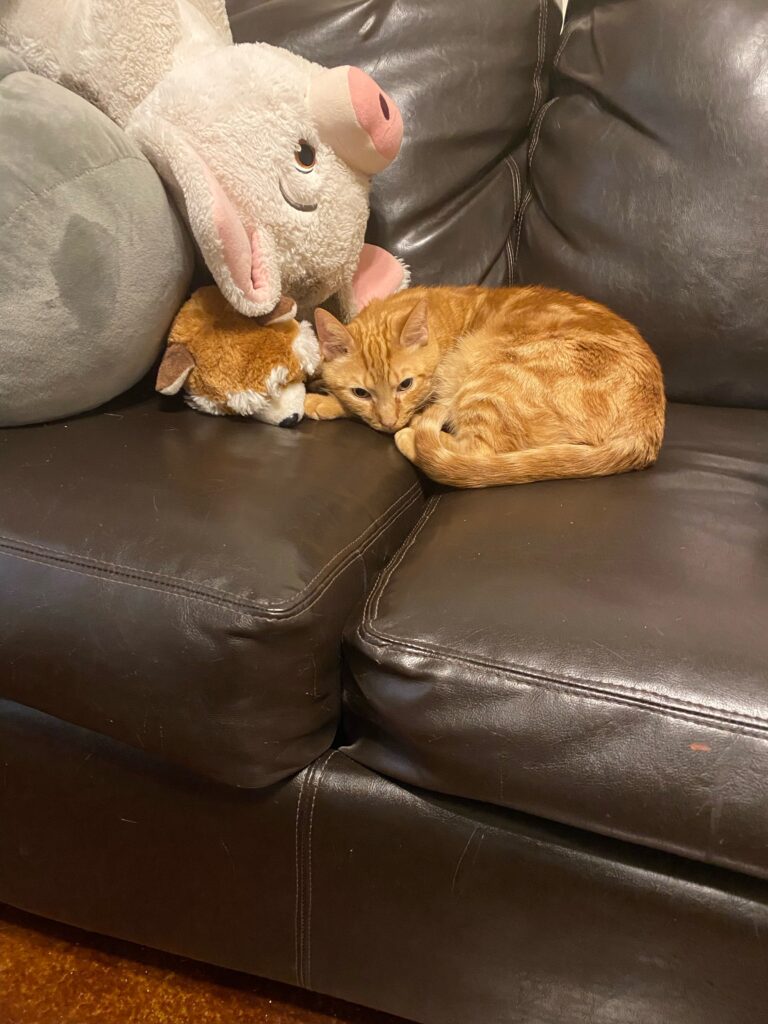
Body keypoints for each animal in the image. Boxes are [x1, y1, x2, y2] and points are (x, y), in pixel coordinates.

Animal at [309, 282, 667, 485]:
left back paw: (411, 436)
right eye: (361, 392)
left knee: (478, 452)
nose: (388, 422)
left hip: (488, 377)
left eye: (405, 385)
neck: (442, 326)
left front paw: (321, 401)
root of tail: (644, 433)